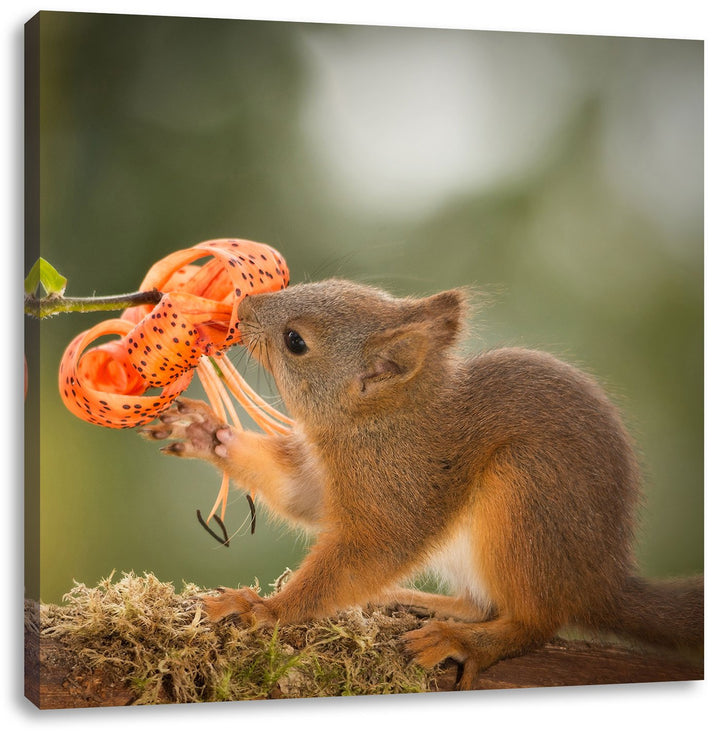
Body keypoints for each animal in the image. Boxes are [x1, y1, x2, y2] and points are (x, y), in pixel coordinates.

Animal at [147, 278, 703, 688]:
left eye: (295, 342)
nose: (242, 306)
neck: (379, 422)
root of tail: (601, 582)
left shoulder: (401, 490)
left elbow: (369, 552)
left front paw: (265, 609)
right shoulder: (329, 482)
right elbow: (300, 496)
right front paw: (206, 433)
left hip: (526, 498)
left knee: (533, 622)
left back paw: (465, 641)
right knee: (480, 603)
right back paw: (415, 601)